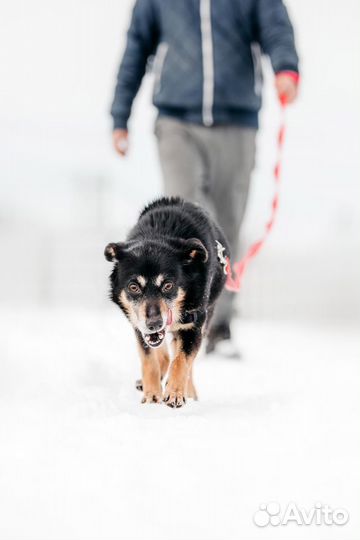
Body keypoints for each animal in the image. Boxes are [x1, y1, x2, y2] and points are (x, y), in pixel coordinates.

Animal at [104, 196, 229, 408]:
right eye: (133, 287)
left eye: (168, 285)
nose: (154, 323)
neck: (158, 234)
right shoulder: (140, 327)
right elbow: (150, 360)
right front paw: (152, 394)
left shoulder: (193, 325)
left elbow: (182, 361)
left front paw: (175, 393)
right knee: (163, 355)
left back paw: (188, 390)